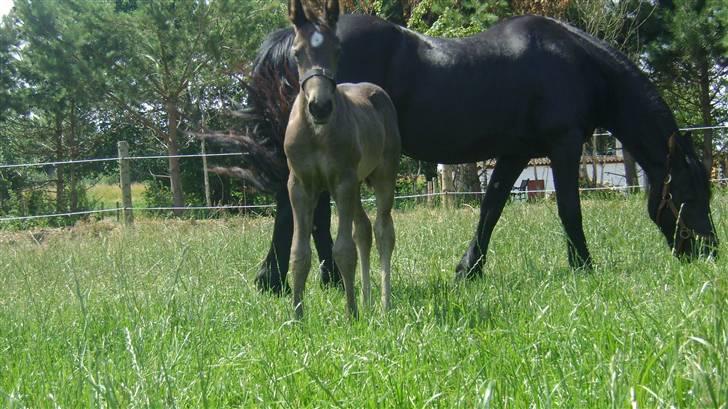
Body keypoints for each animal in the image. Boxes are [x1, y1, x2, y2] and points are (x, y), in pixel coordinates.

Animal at [230, 13, 720, 294]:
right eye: (688, 195)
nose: (709, 252)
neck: (572, 61)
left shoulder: (515, 153)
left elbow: (492, 207)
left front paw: (469, 269)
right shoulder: (563, 146)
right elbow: (569, 209)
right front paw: (583, 266)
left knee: (307, 211)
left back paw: (320, 277)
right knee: (298, 208)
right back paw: (283, 280)